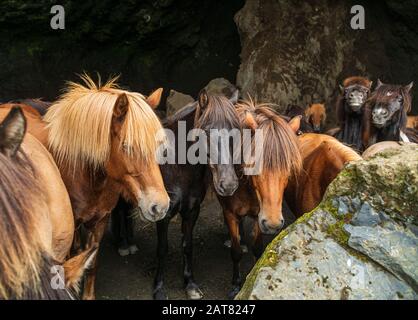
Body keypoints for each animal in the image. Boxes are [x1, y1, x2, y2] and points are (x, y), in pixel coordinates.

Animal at [217, 99, 302, 298]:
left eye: (289, 168)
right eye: (254, 165)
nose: (272, 223)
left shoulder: (258, 215)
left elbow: (257, 248)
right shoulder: (230, 213)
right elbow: (236, 252)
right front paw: (236, 285)